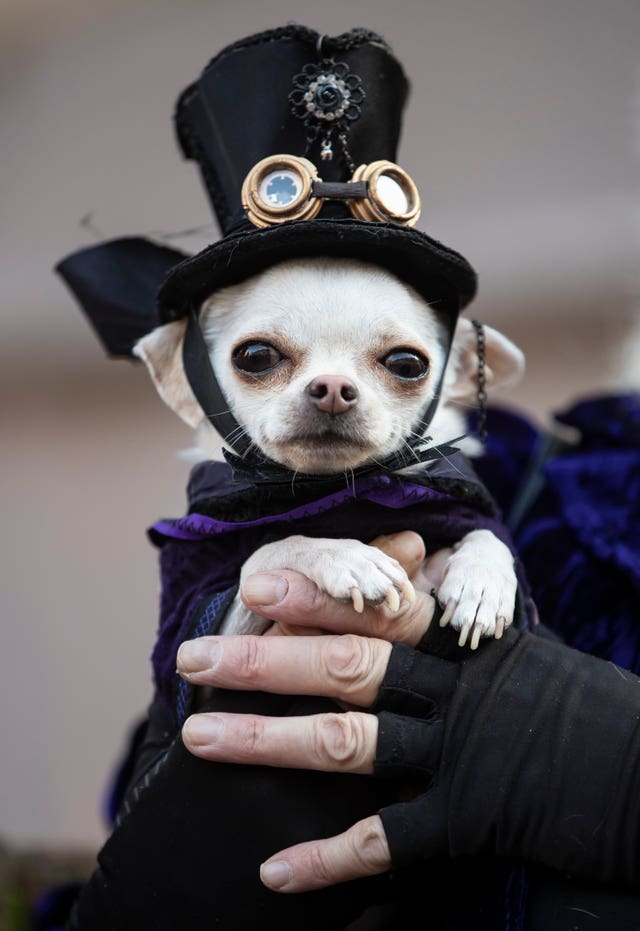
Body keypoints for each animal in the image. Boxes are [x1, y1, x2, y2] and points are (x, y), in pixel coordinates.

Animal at [135, 253, 524, 648]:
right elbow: (273, 547)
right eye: (255, 357)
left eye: (406, 363)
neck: (331, 490)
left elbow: (489, 534)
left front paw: (482, 582)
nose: (333, 387)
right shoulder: (205, 638)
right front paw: (349, 558)